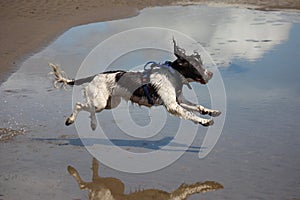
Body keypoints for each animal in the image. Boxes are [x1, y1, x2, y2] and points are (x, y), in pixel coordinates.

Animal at [49, 39, 220, 130]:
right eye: (196, 65)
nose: (211, 74)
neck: (173, 75)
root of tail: (96, 76)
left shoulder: (178, 100)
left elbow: (197, 106)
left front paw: (210, 111)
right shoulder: (172, 105)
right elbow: (191, 114)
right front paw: (204, 121)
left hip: (110, 103)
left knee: (88, 108)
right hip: (100, 102)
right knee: (80, 105)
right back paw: (75, 120)